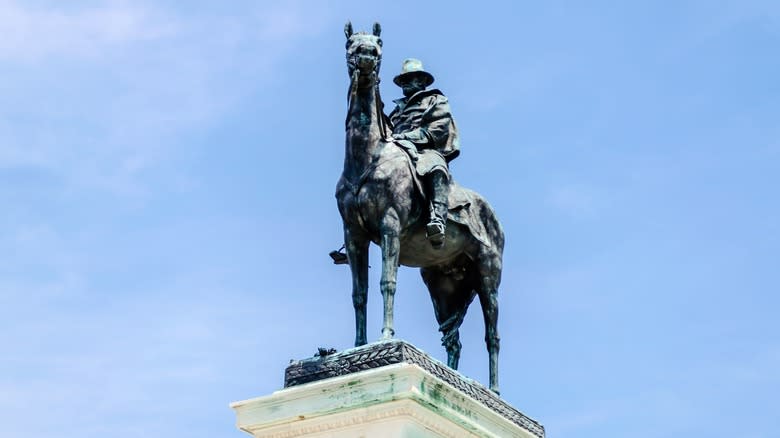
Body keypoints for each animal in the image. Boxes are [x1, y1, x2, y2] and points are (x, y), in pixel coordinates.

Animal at [336, 22, 506, 394]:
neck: (368, 156)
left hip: (488, 276)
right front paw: (357, 346)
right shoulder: (354, 236)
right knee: (452, 337)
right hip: (443, 285)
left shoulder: (389, 228)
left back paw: (493, 390)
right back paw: (454, 375)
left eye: (378, 45)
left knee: (493, 334)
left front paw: (386, 337)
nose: (366, 58)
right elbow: (359, 293)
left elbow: (387, 283)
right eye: (351, 45)